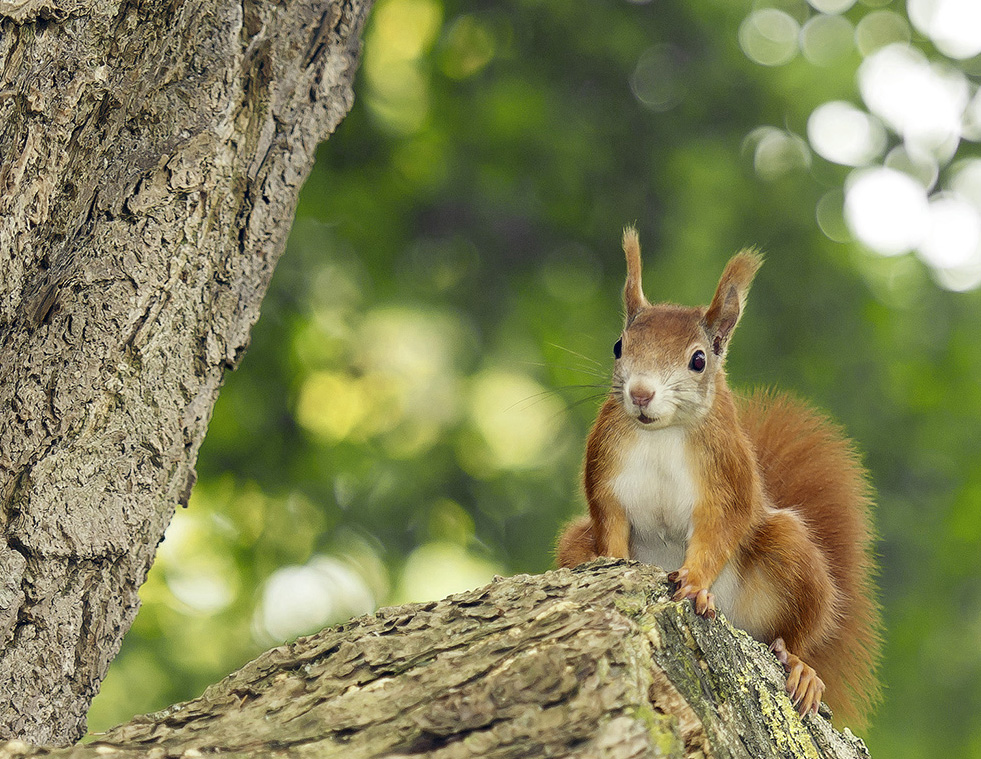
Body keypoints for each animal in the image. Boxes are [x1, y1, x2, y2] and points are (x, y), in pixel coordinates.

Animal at [556, 227, 884, 732]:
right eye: (618, 346)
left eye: (698, 360)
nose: (640, 393)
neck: (662, 433)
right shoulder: (606, 473)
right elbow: (609, 524)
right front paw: (615, 561)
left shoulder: (726, 477)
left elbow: (719, 530)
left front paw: (694, 582)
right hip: (576, 541)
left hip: (789, 553)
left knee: (795, 631)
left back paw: (799, 666)